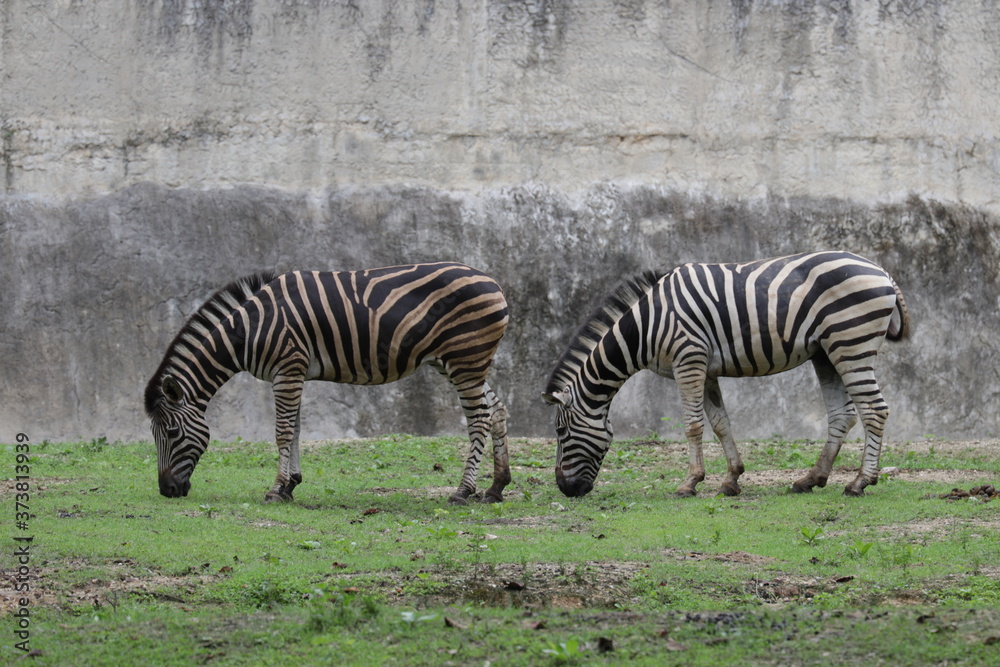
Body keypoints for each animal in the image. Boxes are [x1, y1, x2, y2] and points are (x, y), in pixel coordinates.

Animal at [145, 262, 511, 505]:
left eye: (172, 433)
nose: (167, 491)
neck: (248, 329)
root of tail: (493, 282)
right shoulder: (293, 372)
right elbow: (295, 429)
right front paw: (291, 485)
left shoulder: (287, 368)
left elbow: (282, 432)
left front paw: (275, 489)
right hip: (462, 364)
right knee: (497, 410)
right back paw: (496, 487)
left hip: (464, 360)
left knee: (479, 419)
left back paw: (463, 491)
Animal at [543, 251, 910, 499]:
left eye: (560, 431)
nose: (565, 489)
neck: (647, 325)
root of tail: (881, 271)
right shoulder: (704, 369)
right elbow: (721, 423)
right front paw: (731, 479)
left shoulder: (688, 359)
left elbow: (693, 425)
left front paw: (689, 482)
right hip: (826, 352)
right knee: (842, 415)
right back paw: (811, 479)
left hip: (851, 343)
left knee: (874, 410)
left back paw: (860, 481)